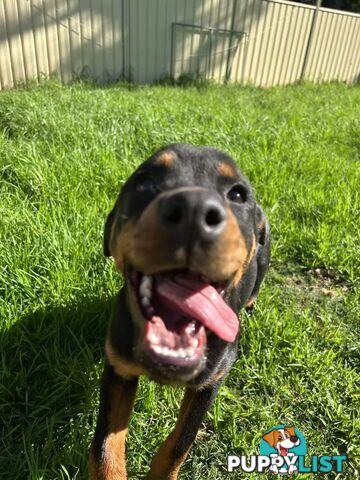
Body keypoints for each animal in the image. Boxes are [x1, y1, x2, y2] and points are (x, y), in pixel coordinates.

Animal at [89, 143, 270, 480]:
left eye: (238, 194)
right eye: (144, 182)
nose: (193, 210)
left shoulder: (210, 382)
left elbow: (179, 444)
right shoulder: (118, 367)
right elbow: (105, 449)